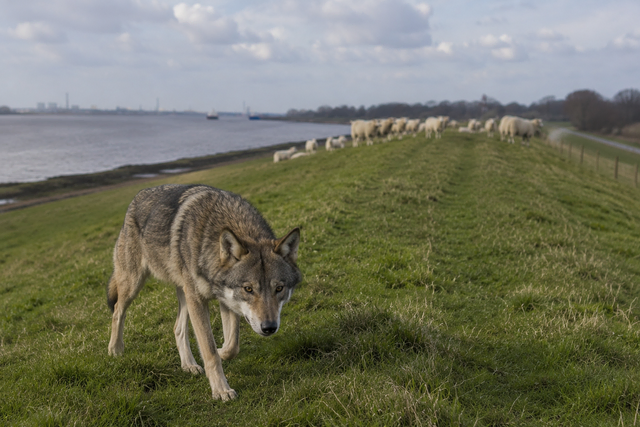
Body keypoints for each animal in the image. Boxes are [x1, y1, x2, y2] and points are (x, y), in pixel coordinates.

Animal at [106, 184, 301, 401]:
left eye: (279, 288)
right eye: (248, 289)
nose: (269, 327)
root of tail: (139, 195)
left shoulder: (225, 300)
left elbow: (232, 345)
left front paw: (222, 351)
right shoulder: (199, 300)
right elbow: (209, 350)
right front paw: (221, 390)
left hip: (183, 293)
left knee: (177, 328)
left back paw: (189, 365)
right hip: (134, 284)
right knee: (117, 311)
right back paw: (115, 349)